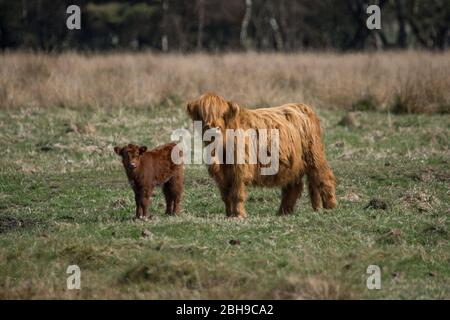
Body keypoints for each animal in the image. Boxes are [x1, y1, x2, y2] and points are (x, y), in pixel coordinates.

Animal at [185, 91, 336, 219]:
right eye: (201, 115)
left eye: (222, 114)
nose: (212, 128)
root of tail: (301, 106)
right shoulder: (222, 175)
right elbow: (226, 196)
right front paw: (229, 215)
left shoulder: (239, 170)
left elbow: (236, 194)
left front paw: (239, 215)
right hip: (294, 164)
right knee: (295, 186)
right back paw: (284, 212)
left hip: (314, 155)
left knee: (323, 177)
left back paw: (330, 206)